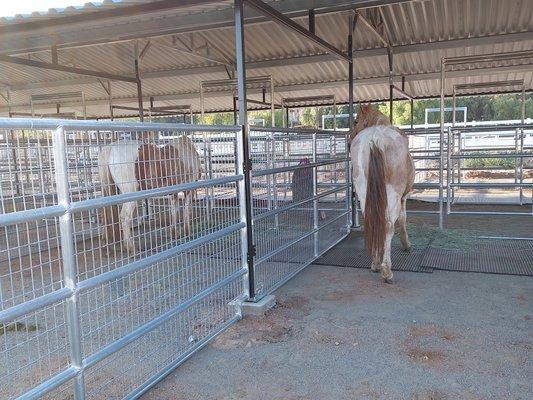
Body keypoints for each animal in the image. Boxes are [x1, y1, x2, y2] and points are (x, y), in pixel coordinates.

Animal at [350, 104, 416, 282]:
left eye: (356, 121)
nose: (349, 138)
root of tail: (375, 139)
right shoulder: (403, 196)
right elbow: (402, 218)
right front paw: (406, 244)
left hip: (364, 193)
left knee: (372, 221)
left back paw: (375, 263)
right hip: (392, 195)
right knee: (387, 227)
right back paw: (386, 271)